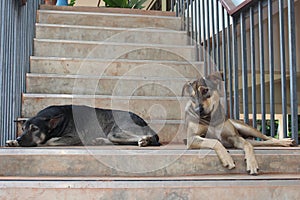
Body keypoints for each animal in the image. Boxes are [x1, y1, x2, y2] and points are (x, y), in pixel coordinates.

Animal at [5, 105, 159, 148]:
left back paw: (145, 140)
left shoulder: (73, 137)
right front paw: (13, 141)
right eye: (23, 128)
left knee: (146, 136)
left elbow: (49, 141)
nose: (19, 139)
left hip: (115, 132)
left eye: (34, 129)